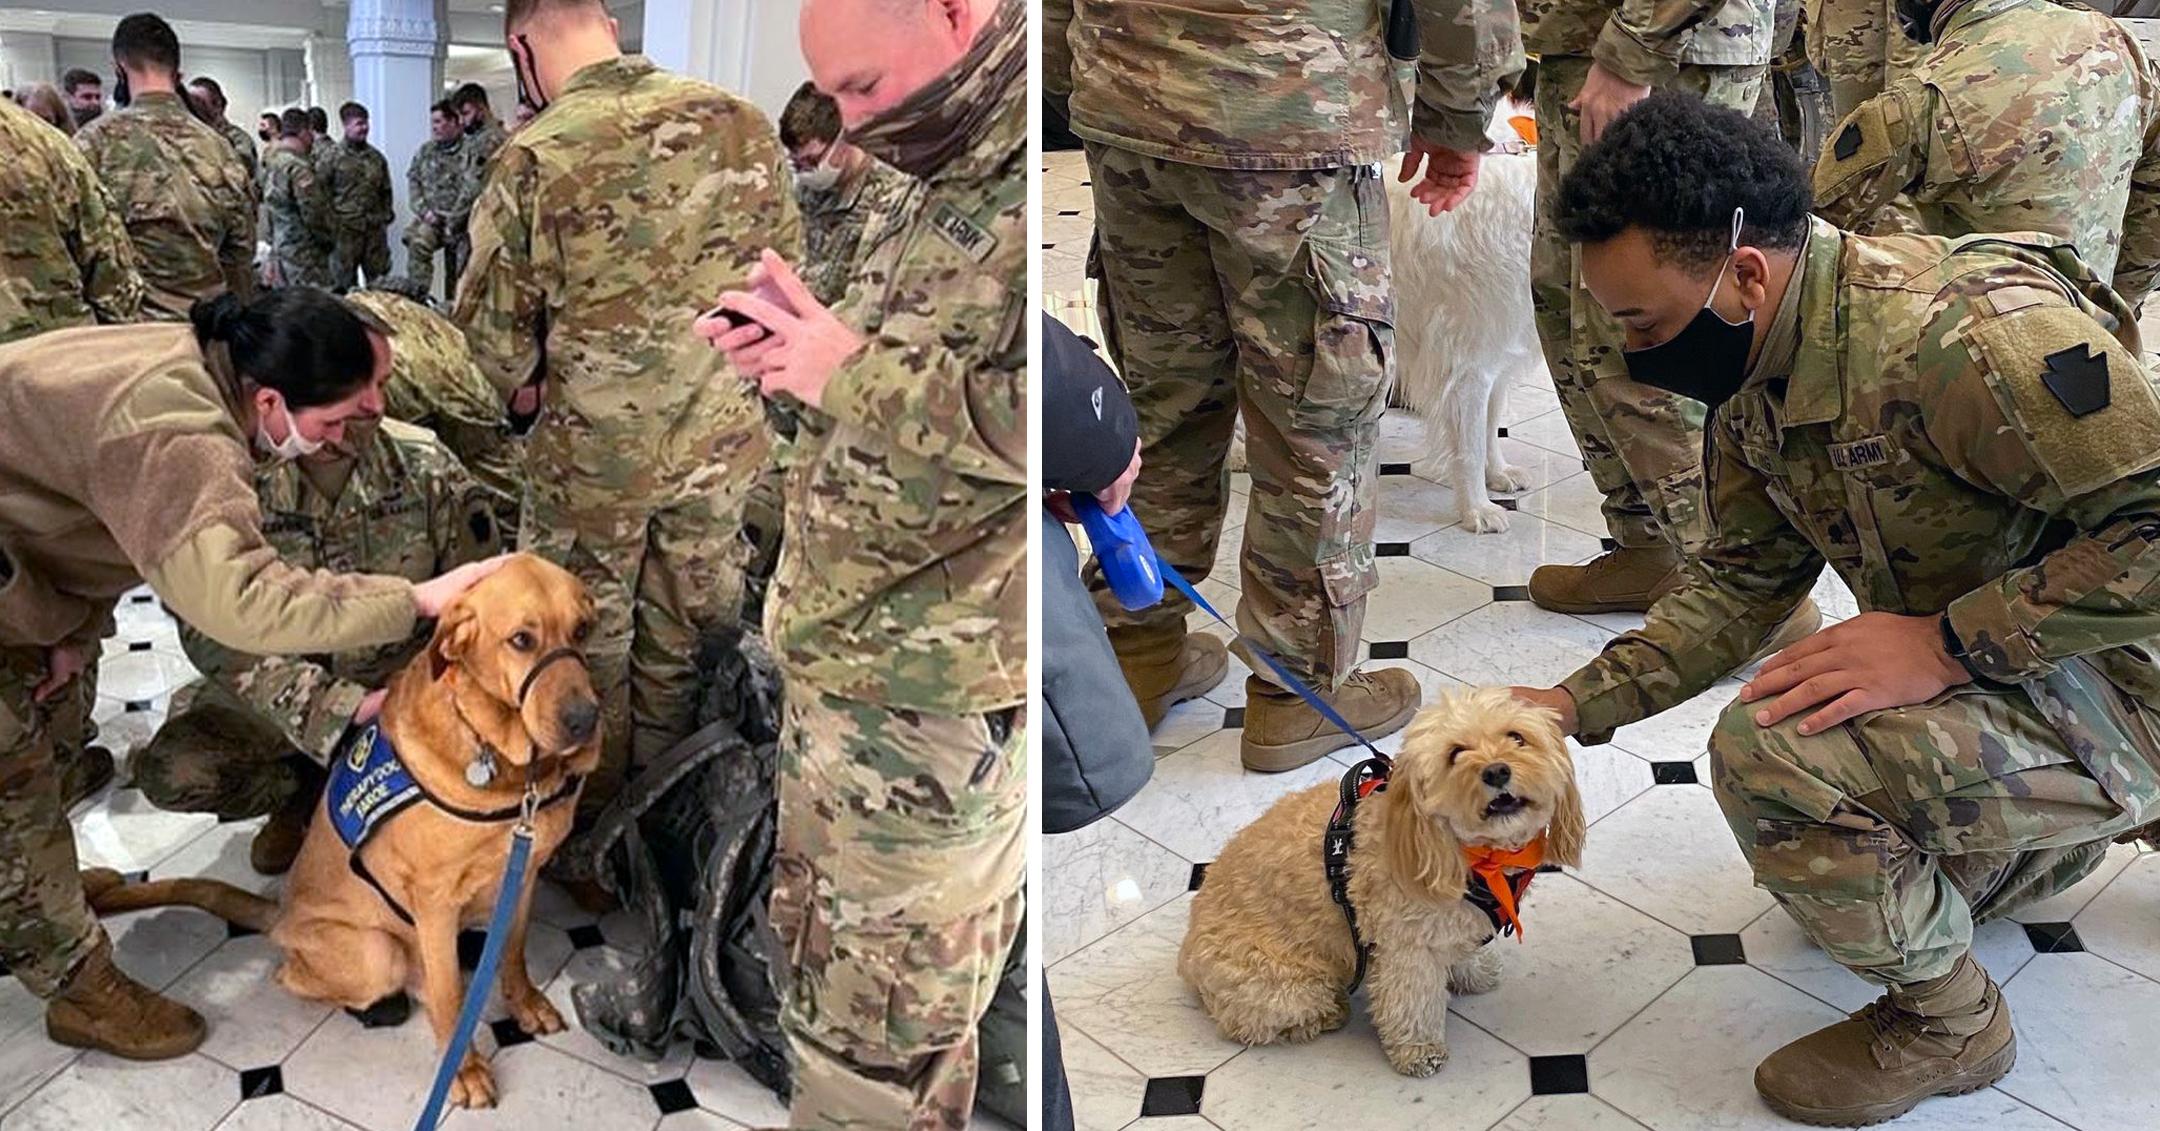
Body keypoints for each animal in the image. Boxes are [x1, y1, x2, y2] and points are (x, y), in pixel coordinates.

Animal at [1183, 690, 1589, 1079]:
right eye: (1455, 754)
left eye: (1516, 737)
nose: (1497, 771)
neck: (1470, 854)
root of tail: (1185, 957)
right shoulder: (1407, 947)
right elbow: (1411, 1001)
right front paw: (1420, 1050)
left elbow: (1461, 950)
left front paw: (1474, 972)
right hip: (1288, 986)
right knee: (1251, 1023)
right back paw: (1327, 1015)